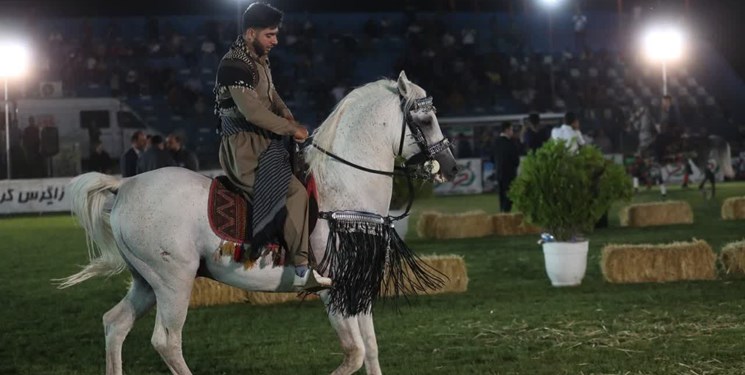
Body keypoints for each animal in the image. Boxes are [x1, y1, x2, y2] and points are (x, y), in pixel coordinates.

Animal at [55, 72, 456, 374]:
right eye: (424, 119)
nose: (451, 168)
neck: (344, 189)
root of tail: (125, 184)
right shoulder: (331, 289)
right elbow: (354, 353)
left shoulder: (356, 286)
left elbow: (370, 350)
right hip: (173, 282)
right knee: (166, 341)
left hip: (146, 281)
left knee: (115, 324)